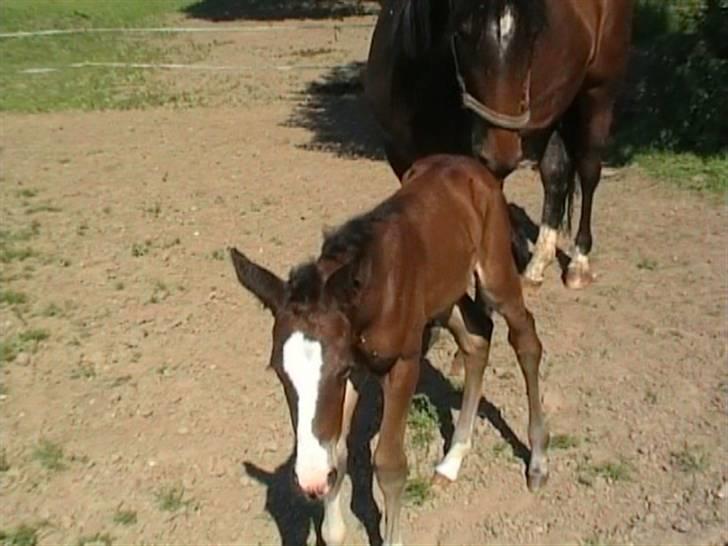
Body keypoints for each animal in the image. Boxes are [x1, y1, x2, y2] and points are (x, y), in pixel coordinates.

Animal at [230, 154, 548, 544]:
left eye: (336, 368)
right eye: (279, 372)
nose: (310, 480)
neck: (370, 293)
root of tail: (470, 165)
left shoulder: (400, 364)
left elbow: (390, 465)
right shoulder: (358, 370)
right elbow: (336, 453)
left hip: (496, 274)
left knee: (525, 339)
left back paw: (538, 461)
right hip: (444, 296)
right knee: (477, 338)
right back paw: (451, 461)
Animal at [366, 0, 636, 288]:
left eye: (534, 33)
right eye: (461, 31)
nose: (502, 154)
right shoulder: (401, 156)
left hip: (599, 94)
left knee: (588, 172)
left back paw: (578, 263)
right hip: (553, 109)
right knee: (555, 175)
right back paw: (536, 265)